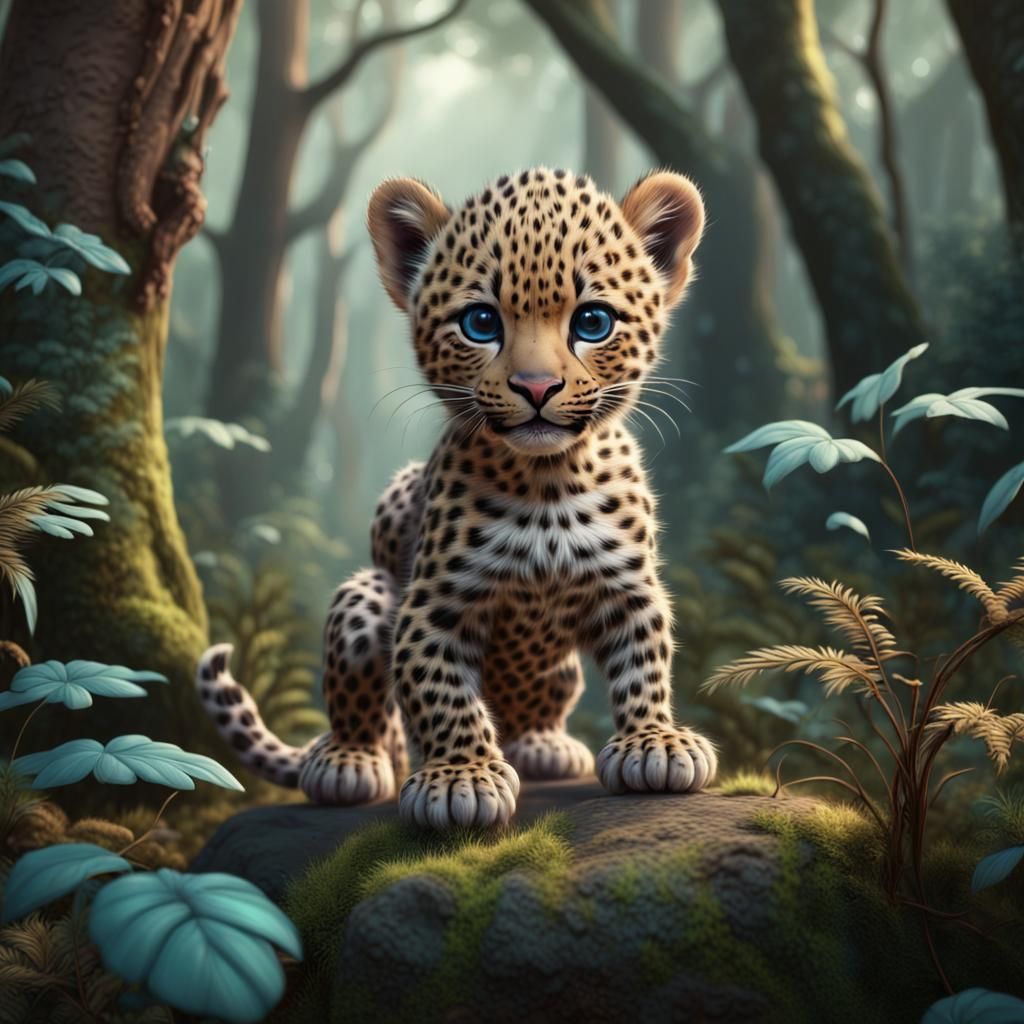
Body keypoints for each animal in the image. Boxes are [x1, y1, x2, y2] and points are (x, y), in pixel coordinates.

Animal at [196, 166, 718, 829]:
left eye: (593, 322)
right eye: (481, 323)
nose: (537, 387)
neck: (548, 484)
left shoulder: (629, 587)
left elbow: (644, 663)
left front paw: (656, 742)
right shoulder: (434, 605)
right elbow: (439, 690)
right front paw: (459, 778)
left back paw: (545, 745)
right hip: (363, 598)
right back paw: (347, 761)